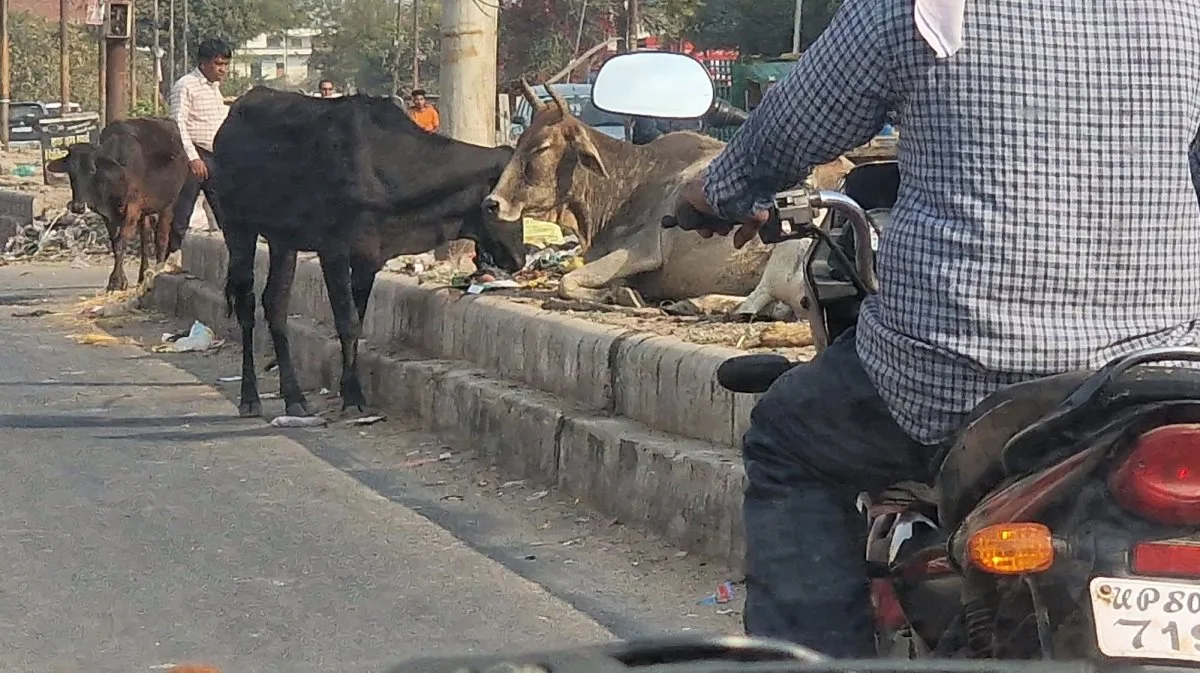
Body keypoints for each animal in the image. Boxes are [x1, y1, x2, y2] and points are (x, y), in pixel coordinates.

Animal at [213, 86, 523, 417]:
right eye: (495, 204)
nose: (518, 258)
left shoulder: (369, 258)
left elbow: (357, 321)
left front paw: (348, 386)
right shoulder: (333, 251)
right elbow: (346, 321)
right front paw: (352, 395)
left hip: (283, 242)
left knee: (275, 304)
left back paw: (293, 396)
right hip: (237, 227)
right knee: (246, 303)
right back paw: (250, 397)